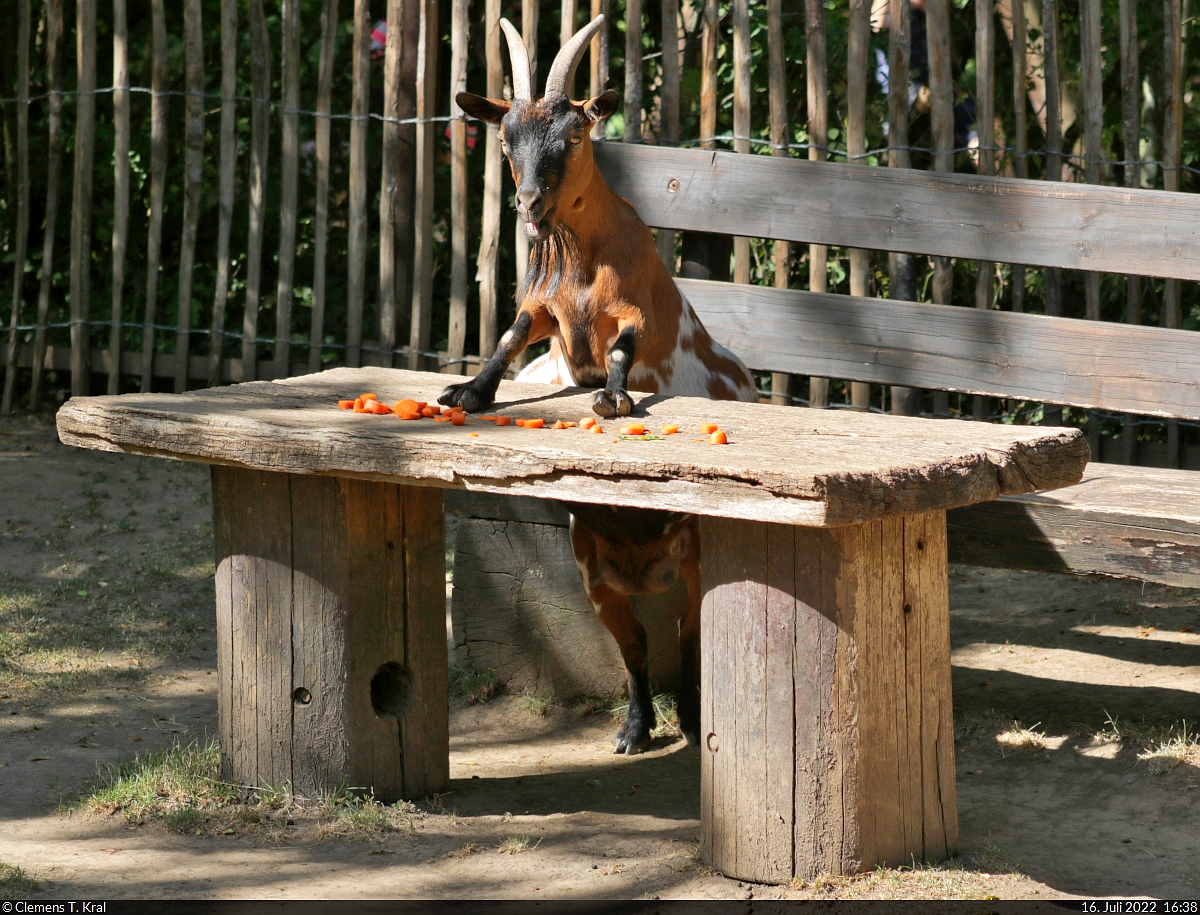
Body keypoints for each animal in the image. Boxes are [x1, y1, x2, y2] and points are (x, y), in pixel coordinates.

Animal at [446, 14, 753, 754]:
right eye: (507, 138)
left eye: (576, 134)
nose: (530, 201)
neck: (582, 266)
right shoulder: (594, 578)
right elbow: (509, 334)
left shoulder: (639, 310)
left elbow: (623, 343)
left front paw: (613, 396)